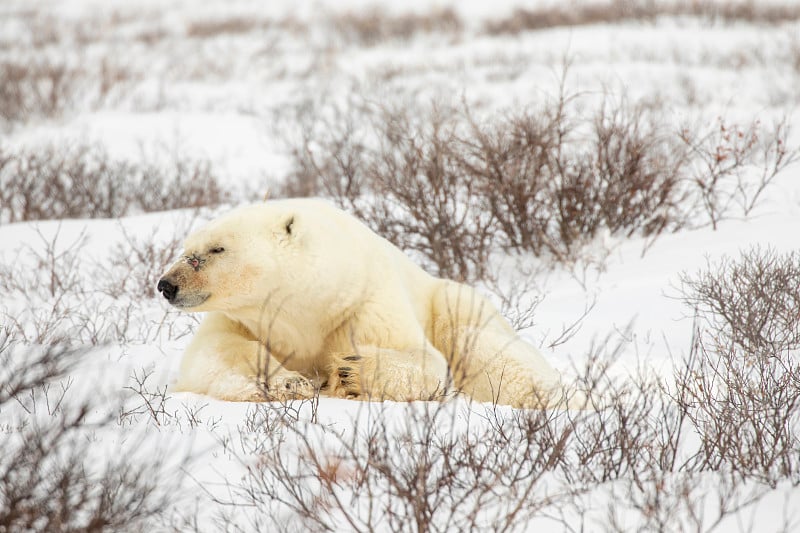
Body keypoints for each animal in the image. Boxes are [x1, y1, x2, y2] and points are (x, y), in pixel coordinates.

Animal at [156, 200, 568, 408]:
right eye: (185, 248)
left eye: (216, 249)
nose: (166, 285)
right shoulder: (241, 319)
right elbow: (214, 353)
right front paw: (290, 382)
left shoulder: (363, 304)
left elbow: (423, 359)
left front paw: (349, 372)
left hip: (453, 301)